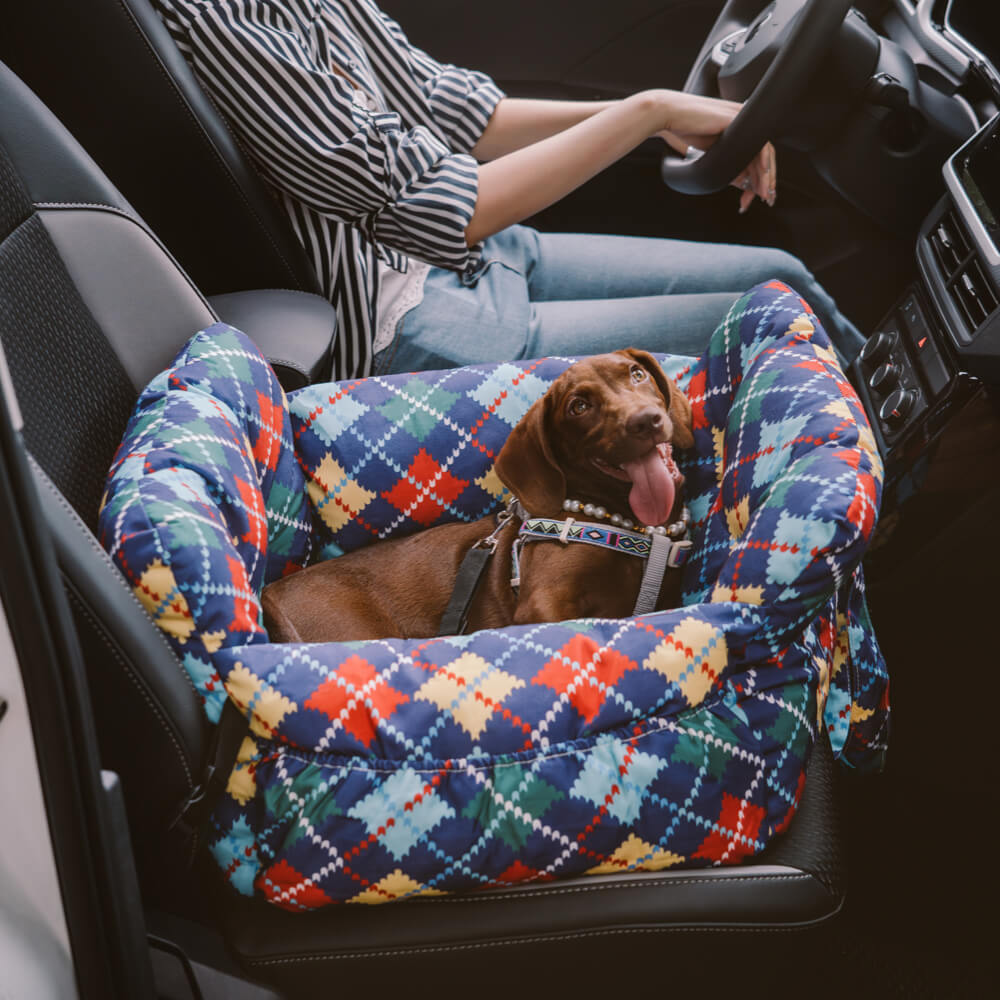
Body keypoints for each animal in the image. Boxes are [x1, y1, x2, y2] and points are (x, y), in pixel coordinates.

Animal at [262, 352, 692, 644]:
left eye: (637, 374)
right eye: (579, 406)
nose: (646, 420)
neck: (630, 526)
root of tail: (270, 595)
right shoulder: (541, 605)